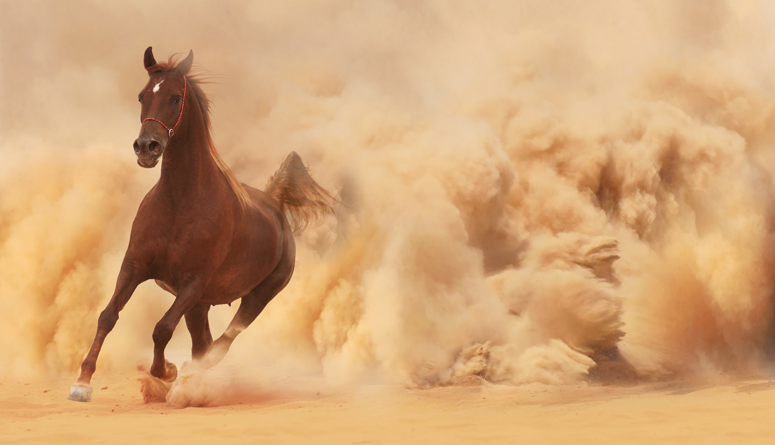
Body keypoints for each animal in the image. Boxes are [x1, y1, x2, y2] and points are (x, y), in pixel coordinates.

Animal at [68, 47, 335, 403]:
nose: (147, 147)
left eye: (175, 97)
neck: (179, 202)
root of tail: (275, 204)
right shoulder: (135, 266)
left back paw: (188, 381)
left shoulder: (193, 282)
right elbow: (108, 316)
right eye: (142, 95)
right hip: (201, 306)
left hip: (257, 296)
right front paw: (82, 383)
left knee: (220, 345)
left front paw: (168, 371)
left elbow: (162, 328)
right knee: (203, 343)